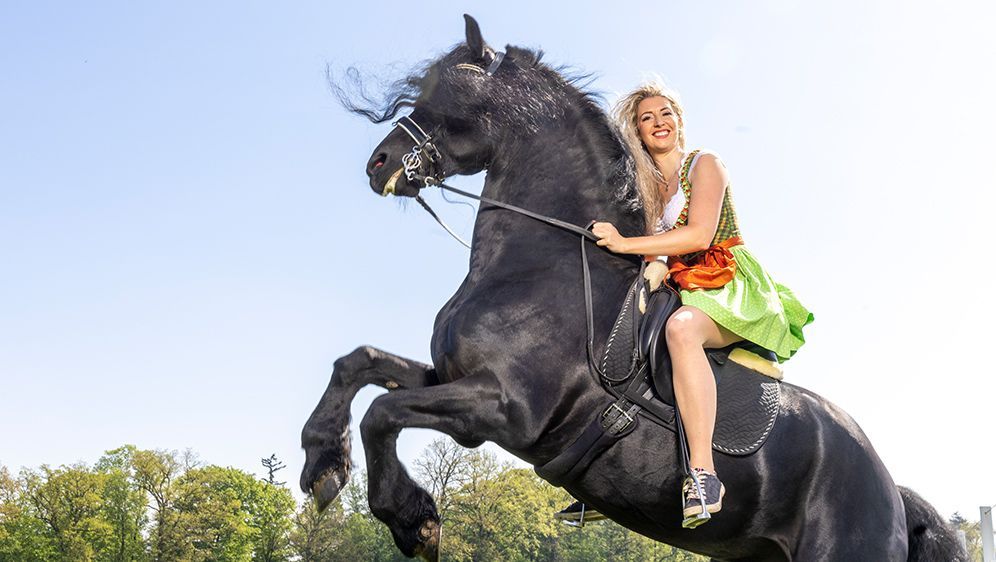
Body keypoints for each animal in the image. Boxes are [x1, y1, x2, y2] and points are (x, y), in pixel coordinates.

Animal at [302, 15, 964, 556]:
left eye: (452, 89)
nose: (379, 164)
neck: (542, 265)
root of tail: (894, 493)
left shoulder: (502, 408)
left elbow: (383, 412)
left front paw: (412, 519)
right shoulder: (452, 377)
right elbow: (360, 364)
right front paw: (321, 461)